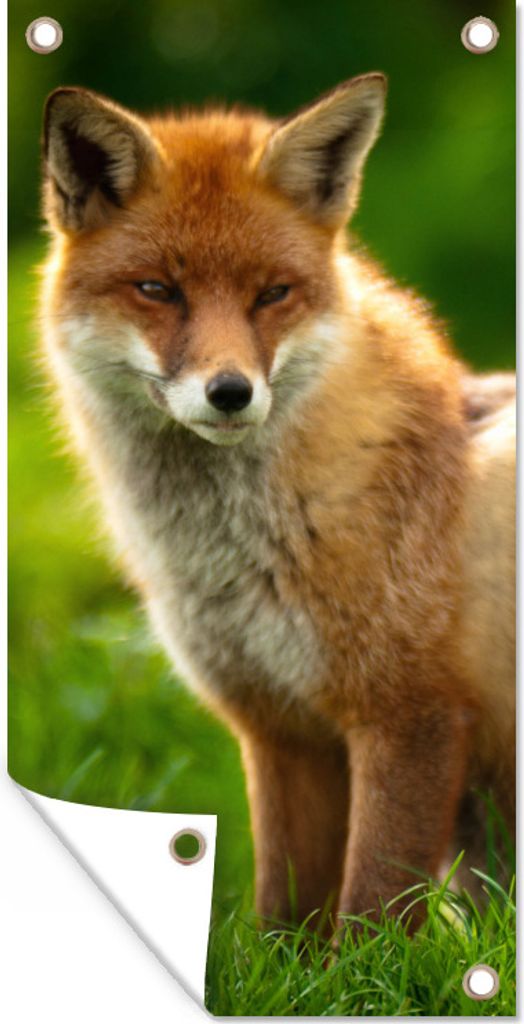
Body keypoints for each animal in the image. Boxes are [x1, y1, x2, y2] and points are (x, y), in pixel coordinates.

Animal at [39, 73, 515, 931]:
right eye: (158, 290)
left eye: (272, 294)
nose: (230, 392)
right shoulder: (277, 727)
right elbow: (282, 914)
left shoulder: (412, 715)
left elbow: (372, 910)